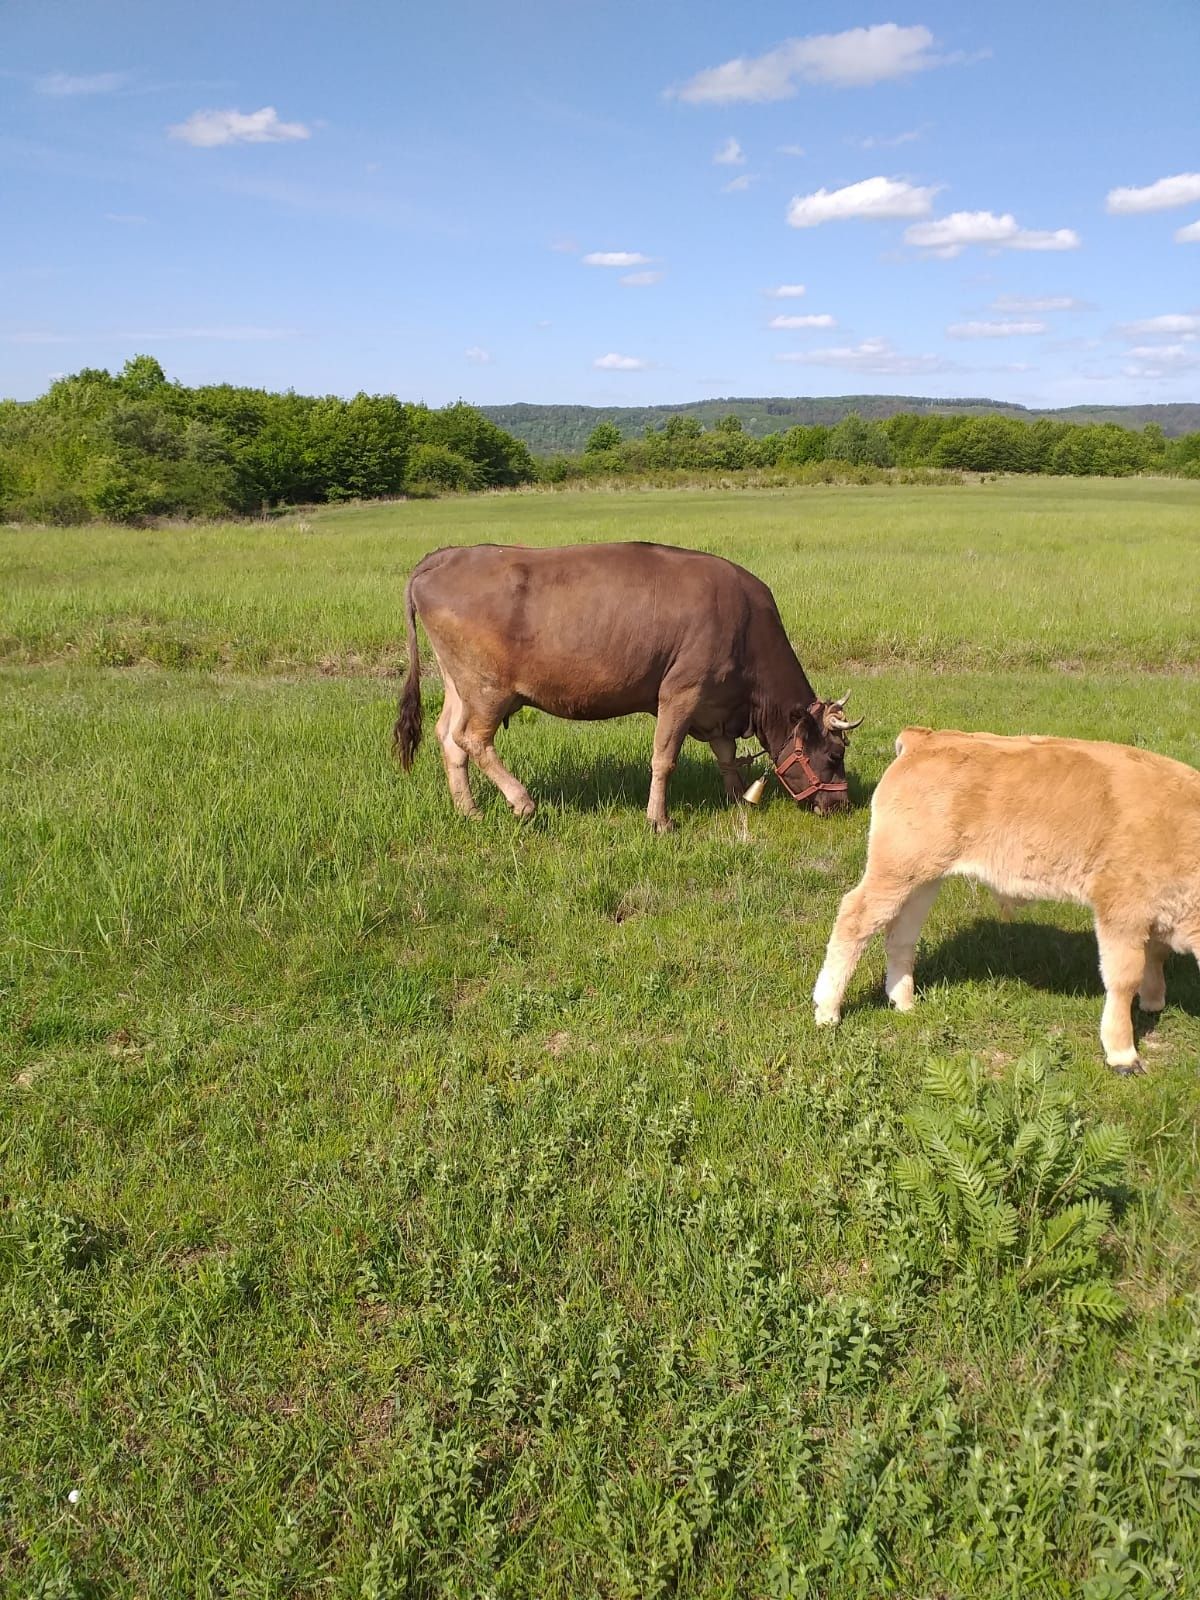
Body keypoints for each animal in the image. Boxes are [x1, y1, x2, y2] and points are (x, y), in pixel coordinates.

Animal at [400, 544, 857, 832]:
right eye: (834, 755)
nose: (842, 806)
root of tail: (448, 556)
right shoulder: (681, 692)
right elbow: (664, 759)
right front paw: (660, 820)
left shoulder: (717, 706)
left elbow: (725, 755)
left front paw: (734, 799)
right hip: (488, 689)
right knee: (472, 738)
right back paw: (522, 801)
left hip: (459, 684)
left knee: (449, 738)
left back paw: (469, 811)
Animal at [819, 729, 1200, 1075]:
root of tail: (925, 737)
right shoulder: (1120, 909)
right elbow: (1123, 978)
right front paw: (1123, 1054)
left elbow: (1156, 955)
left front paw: (1153, 1001)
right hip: (894, 871)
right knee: (854, 918)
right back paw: (827, 1011)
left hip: (923, 881)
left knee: (901, 935)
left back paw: (904, 1002)